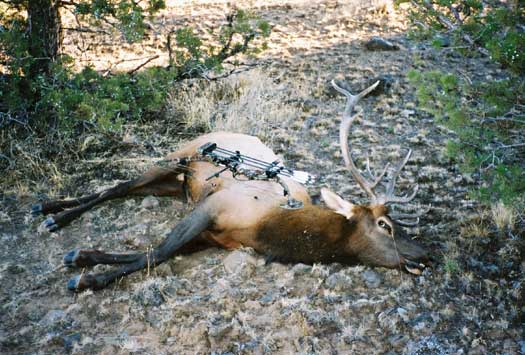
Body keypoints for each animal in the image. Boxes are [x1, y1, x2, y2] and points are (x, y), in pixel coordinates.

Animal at [31, 79, 430, 290]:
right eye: (385, 225)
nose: (426, 254)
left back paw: (51, 212)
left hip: (176, 184)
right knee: (117, 187)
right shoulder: (213, 208)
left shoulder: (211, 236)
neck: (269, 229)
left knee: (128, 189)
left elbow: (149, 252)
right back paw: (51, 213)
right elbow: (158, 252)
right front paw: (86, 279)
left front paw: (83, 259)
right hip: (177, 157)